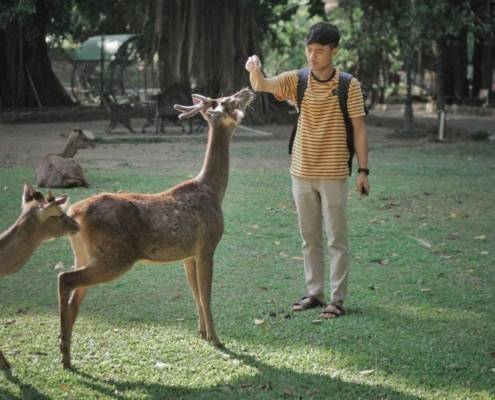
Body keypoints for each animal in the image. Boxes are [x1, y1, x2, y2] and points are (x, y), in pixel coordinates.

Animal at [57, 87, 256, 368]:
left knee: (75, 297)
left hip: (85, 254)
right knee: (65, 279)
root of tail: (73, 212)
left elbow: (195, 294)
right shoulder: (207, 245)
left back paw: (67, 354)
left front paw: (202, 333)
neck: (213, 191)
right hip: (116, 256)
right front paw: (217, 339)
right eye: (229, 101)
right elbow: (206, 295)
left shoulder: (188, 254)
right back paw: (64, 352)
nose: (248, 90)